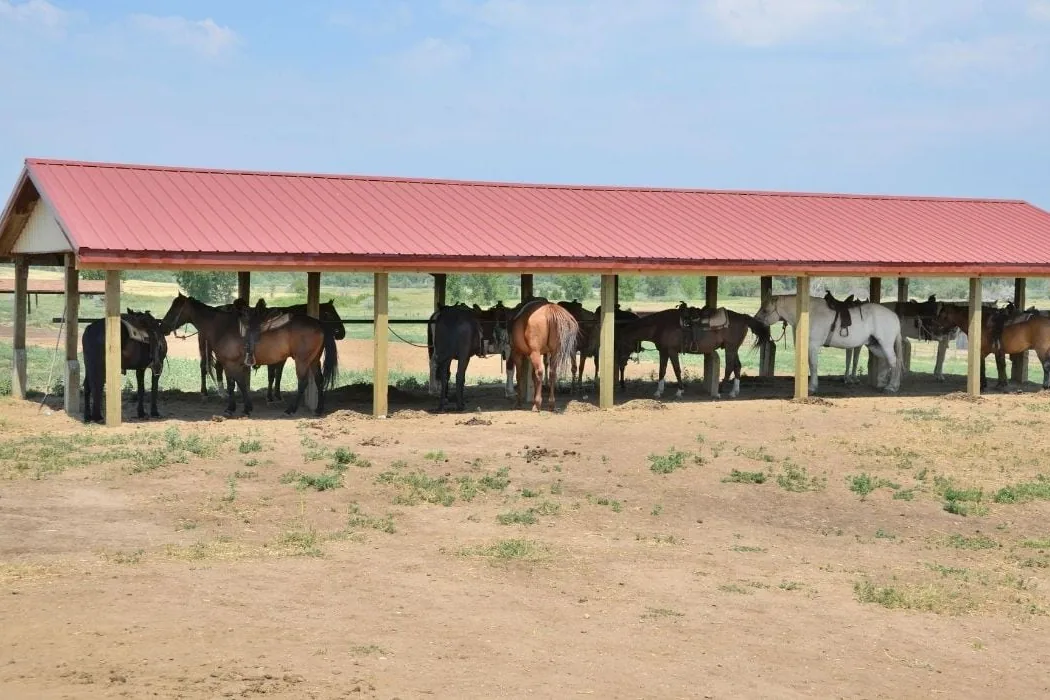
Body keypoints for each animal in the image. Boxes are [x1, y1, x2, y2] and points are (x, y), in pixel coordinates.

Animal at [199, 299, 345, 402]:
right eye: (329, 314)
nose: (342, 333)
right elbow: (271, 376)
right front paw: (270, 396)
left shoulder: (281, 359)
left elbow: (278, 375)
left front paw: (277, 395)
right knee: (211, 367)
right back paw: (211, 393)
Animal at [614, 304, 770, 399]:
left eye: (620, 344)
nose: (621, 363)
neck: (660, 325)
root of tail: (743, 317)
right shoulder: (663, 351)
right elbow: (662, 370)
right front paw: (658, 391)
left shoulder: (672, 351)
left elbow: (676, 370)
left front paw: (679, 391)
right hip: (733, 348)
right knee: (737, 366)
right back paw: (733, 392)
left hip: (730, 348)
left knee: (730, 367)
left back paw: (719, 391)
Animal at [754, 294, 903, 394]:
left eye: (765, 310)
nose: (755, 322)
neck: (809, 314)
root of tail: (894, 316)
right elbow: (809, 365)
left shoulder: (813, 346)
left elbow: (813, 366)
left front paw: (812, 387)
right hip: (874, 345)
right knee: (887, 361)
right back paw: (883, 383)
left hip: (886, 344)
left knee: (894, 362)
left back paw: (892, 387)